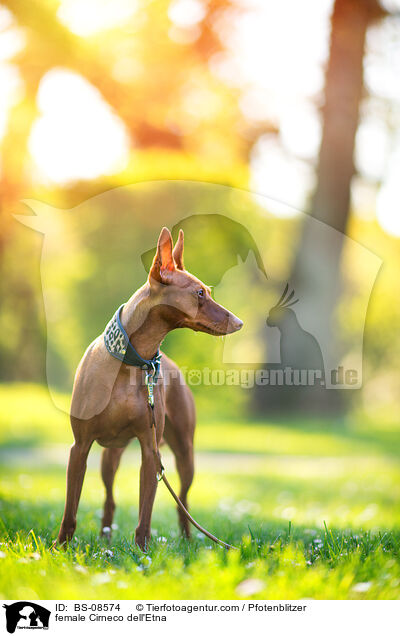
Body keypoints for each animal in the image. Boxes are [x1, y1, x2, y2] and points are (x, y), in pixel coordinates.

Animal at [57, 226, 242, 548]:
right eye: (200, 293)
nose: (240, 322)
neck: (133, 361)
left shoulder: (149, 451)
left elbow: (146, 514)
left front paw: (142, 553)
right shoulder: (79, 447)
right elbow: (71, 509)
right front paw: (61, 548)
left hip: (185, 455)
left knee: (183, 501)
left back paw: (187, 541)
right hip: (109, 457)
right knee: (109, 500)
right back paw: (105, 539)